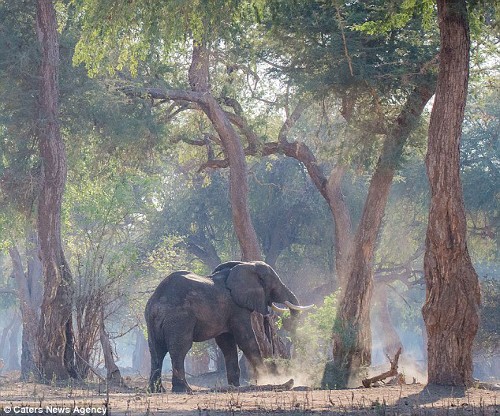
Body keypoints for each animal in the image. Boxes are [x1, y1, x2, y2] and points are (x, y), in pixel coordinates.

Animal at [143, 260, 312, 394]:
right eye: (275, 284)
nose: (286, 322)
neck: (245, 265)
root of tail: (157, 300)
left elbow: (227, 344)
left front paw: (235, 386)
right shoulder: (237, 308)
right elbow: (246, 340)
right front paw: (267, 379)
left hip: (151, 319)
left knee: (156, 350)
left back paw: (156, 390)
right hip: (180, 318)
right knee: (179, 349)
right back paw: (183, 390)